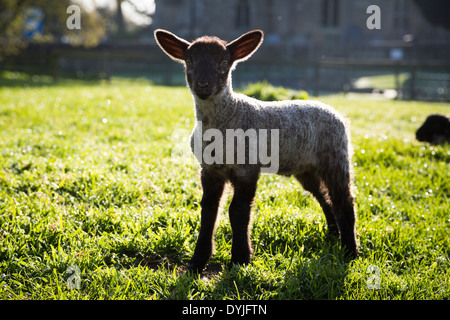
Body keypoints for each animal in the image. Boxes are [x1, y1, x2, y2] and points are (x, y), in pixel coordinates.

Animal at [155, 28, 358, 272]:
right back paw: (333, 236)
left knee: (344, 200)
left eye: (224, 61)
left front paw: (240, 259)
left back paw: (350, 252)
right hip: (306, 168)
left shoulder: (247, 168)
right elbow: (209, 211)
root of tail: (335, 113)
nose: (203, 85)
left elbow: (238, 211)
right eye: (189, 59)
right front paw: (197, 262)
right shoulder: (210, 170)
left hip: (336, 157)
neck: (227, 117)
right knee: (325, 198)